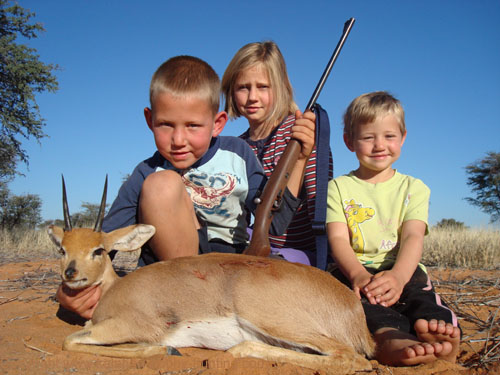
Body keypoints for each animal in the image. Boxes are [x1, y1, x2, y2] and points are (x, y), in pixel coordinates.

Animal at [48, 177, 376, 375]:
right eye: (62, 249)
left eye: (98, 250)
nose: (71, 274)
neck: (113, 291)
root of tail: (352, 308)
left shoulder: (132, 324)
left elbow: (70, 340)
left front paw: (164, 349)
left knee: (349, 357)